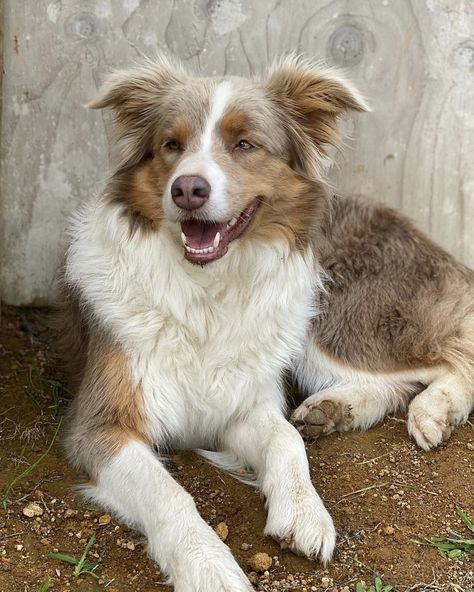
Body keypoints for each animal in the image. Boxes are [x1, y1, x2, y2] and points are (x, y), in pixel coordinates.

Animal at [62, 54, 474, 588]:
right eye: (171, 145)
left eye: (245, 144)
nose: (187, 189)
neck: (208, 289)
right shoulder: (101, 426)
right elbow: (168, 492)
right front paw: (207, 565)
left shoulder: (243, 401)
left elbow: (284, 439)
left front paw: (304, 510)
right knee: (402, 381)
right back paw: (336, 410)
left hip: (334, 318)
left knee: (451, 359)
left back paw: (433, 412)